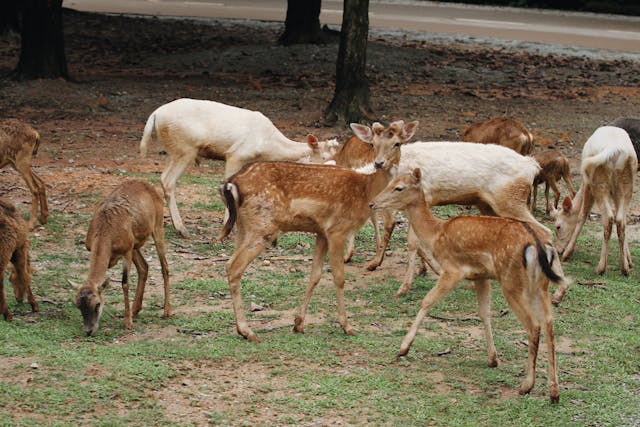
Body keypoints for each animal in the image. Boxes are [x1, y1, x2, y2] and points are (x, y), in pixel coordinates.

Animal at [70, 179, 171, 336]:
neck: (106, 232)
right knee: (144, 267)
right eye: (78, 305)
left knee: (164, 266)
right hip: (135, 243)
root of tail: (149, 186)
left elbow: (125, 283)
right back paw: (135, 310)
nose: (88, 331)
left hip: (158, 226)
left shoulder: (126, 251)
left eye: (97, 304)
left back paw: (166, 311)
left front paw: (128, 323)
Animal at [139, 98, 338, 237]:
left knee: (163, 177)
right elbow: (226, 186)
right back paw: (182, 229)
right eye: (324, 158)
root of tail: (155, 115)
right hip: (184, 148)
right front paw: (228, 228)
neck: (268, 146)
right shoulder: (235, 155)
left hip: (175, 151)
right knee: (168, 180)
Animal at [219, 120, 420, 344]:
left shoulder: (322, 232)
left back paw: (242, 329)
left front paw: (298, 323)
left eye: (397, 143)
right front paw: (347, 326)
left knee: (230, 263)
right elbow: (339, 277)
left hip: (244, 226)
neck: (365, 189)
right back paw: (247, 331)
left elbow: (315, 275)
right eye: (373, 144)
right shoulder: (337, 230)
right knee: (234, 267)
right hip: (262, 226)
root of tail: (231, 184)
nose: (379, 163)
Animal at [368, 168, 568, 404]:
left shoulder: (453, 270)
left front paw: (403, 347)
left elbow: (427, 300)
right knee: (549, 322)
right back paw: (554, 392)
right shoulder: (480, 276)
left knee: (533, 324)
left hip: (512, 282)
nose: (372, 203)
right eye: (391, 182)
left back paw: (526, 386)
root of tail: (538, 245)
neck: (436, 233)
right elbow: (484, 312)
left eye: (399, 187)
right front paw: (493, 359)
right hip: (540, 285)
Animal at [552, 125, 636, 276]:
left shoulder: (586, 183)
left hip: (598, 181)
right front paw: (630, 261)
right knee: (620, 219)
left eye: (558, 226)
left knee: (608, 218)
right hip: (626, 183)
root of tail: (615, 150)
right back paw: (624, 269)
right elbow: (624, 220)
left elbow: (582, 215)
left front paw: (567, 254)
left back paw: (601, 268)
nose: (558, 249)